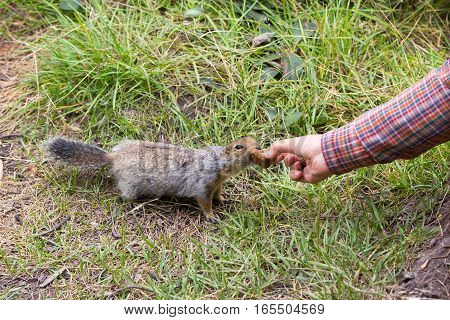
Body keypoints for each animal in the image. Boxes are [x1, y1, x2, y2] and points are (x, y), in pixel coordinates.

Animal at [45, 136, 274, 221]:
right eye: (239, 146)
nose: (260, 147)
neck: (218, 162)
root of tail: (114, 157)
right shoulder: (202, 185)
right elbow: (204, 202)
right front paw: (211, 216)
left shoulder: (217, 184)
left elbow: (217, 195)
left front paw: (223, 200)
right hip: (131, 186)